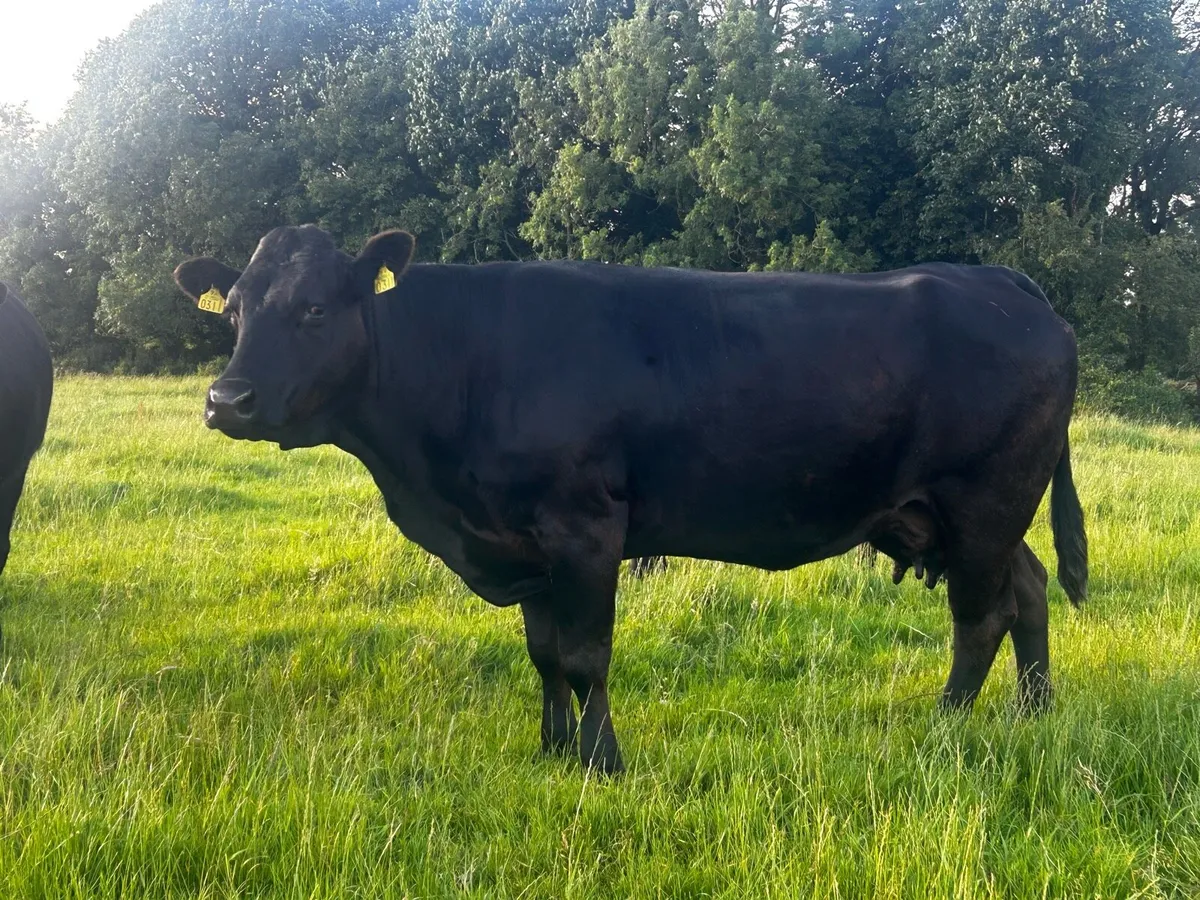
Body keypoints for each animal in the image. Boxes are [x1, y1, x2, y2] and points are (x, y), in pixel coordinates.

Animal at [174, 224, 1087, 776]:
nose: (227, 400)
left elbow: (584, 656)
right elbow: (543, 653)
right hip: (968, 513)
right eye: (236, 311)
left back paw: (948, 723)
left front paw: (602, 760)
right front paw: (551, 750)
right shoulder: (525, 542)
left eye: (313, 307)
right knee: (1029, 589)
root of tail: (998, 281)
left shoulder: (584, 528)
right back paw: (1034, 712)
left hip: (986, 499)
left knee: (983, 616)